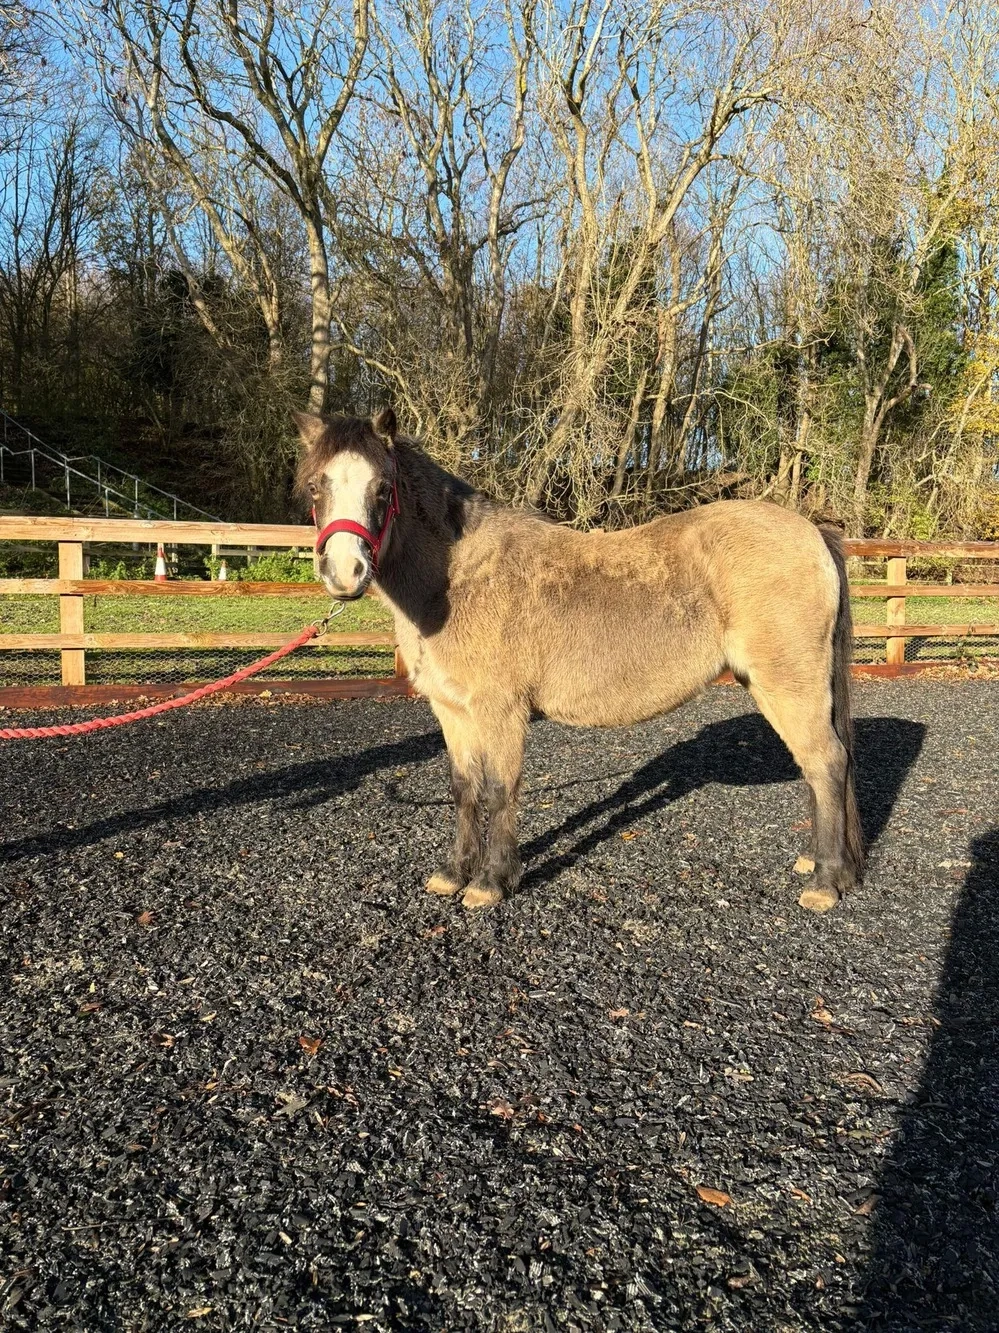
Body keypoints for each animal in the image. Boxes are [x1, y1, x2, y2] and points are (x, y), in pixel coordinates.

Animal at [294, 407, 864, 914]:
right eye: (317, 489)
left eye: (382, 489)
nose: (345, 572)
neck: (456, 579)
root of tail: (813, 533)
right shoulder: (452, 712)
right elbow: (464, 790)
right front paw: (453, 874)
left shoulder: (501, 713)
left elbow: (499, 791)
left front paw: (490, 883)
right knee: (818, 768)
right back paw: (816, 863)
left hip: (788, 685)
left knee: (827, 763)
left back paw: (826, 883)